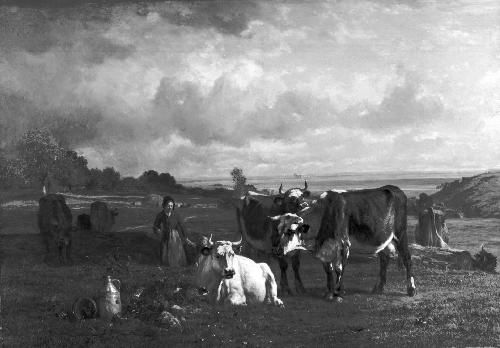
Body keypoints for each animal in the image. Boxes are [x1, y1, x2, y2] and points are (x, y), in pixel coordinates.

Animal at [280, 185, 416, 302]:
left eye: (288, 232)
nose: (279, 250)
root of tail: (394, 188)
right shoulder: (325, 247)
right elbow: (328, 269)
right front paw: (329, 292)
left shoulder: (344, 243)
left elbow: (339, 268)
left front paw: (338, 294)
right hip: (382, 238)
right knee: (384, 260)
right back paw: (378, 288)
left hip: (400, 234)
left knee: (407, 258)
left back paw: (411, 289)